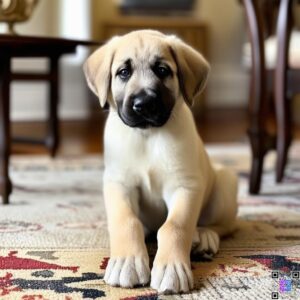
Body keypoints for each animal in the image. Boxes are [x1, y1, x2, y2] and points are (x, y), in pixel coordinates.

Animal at [83, 29, 238, 292]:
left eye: (162, 70)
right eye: (123, 72)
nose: (144, 104)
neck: (147, 136)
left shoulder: (185, 186)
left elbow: (175, 226)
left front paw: (171, 268)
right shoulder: (119, 184)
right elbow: (126, 221)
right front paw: (127, 262)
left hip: (225, 183)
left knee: (223, 225)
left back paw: (204, 237)